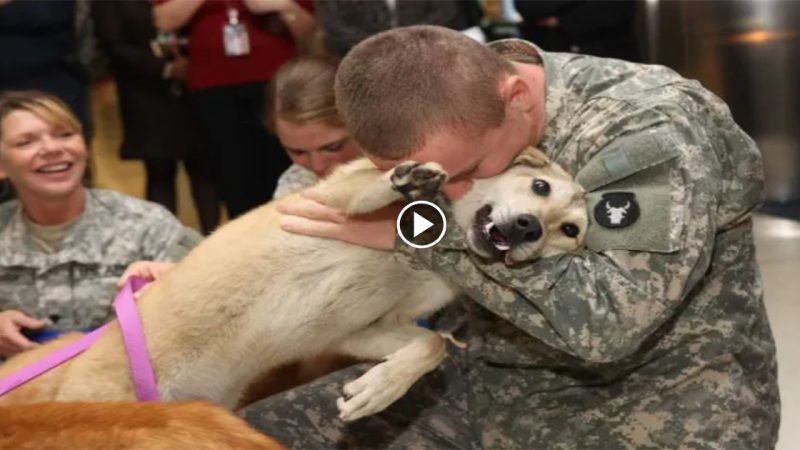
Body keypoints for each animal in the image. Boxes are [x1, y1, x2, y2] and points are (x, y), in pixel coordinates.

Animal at [0, 148, 588, 422]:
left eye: (572, 230)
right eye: (539, 186)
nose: (529, 229)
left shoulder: (362, 330)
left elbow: (430, 346)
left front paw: (378, 389)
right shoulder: (324, 200)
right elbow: (367, 187)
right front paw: (404, 180)